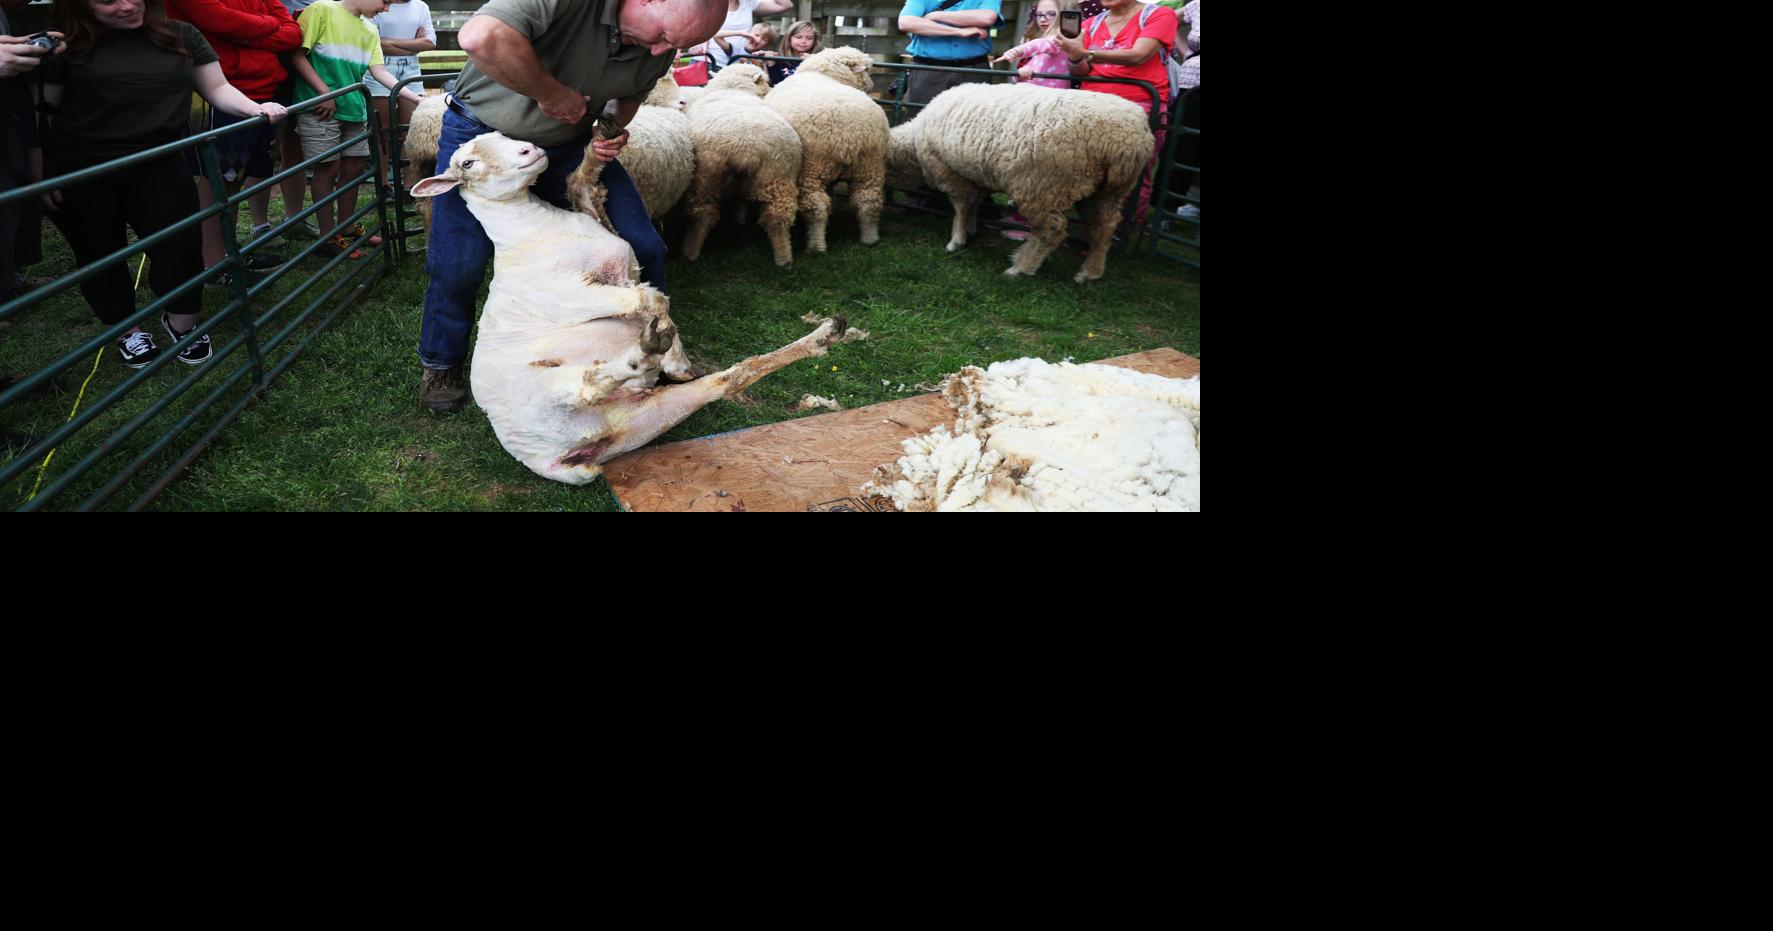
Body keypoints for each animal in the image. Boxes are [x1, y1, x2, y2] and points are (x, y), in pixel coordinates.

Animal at [413, 131, 851, 485]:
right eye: (467, 163)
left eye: (503, 136)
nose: (530, 149)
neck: (530, 229)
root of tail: (546, 459)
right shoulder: (575, 292)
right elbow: (651, 299)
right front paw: (674, 357)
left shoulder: (620, 257)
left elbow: (582, 185)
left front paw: (598, 149)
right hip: (545, 397)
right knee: (587, 385)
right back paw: (642, 356)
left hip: (642, 421)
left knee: (727, 381)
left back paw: (822, 335)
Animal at [673, 63, 801, 266]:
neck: (732, 89)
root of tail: (746, 149)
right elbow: (740, 199)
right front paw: (739, 219)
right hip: (777, 176)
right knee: (777, 219)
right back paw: (784, 259)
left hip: (706, 179)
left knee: (702, 217)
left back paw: (690, 252)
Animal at [765, 45, 893, 251]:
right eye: (867, 70)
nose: (873, 86)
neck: (824, 75)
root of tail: (850, 136)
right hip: (869, 165)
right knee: (868, 201)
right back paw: (870, 238)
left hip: (812, 168)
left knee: (816, 206)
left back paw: (816, 246)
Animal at [886, 85, 1148, 285]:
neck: (913, 144)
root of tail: (1122, 141)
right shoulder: (977, 174)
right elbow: (974, 203)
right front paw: (971, 228)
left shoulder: (949, 171)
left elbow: (960, 206)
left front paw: (956, 240)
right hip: (1106, 192)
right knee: (1104, 227)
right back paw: (1089, 272)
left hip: (1043, 185)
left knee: (1051, 231)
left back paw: (1022, 267)